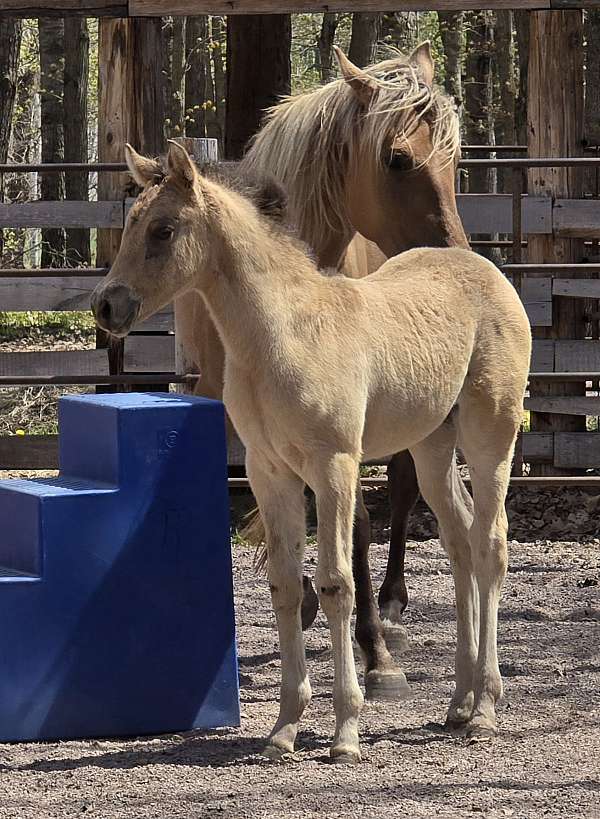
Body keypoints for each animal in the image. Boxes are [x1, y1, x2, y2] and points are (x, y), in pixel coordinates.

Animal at [91, 141, 531, 763]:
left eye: (163, 229)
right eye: (130, 222)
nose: (108, 307)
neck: (282, 335)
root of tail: (489, 270)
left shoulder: (334, 466)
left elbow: (335, 584)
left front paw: (346, 729)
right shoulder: (268, 471)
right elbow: (281, 582)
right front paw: (284, 728)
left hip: (490, 430)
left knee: (491, 544)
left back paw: (486, 707)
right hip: (431, 445)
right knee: (460, 541)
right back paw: (459, 702)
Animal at [174, 42, 470, 701]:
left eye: (457, 159)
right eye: (396, 158)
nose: (458, 254)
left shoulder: (343, 424)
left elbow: (356, 517)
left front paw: (374, 649)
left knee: (403, 489)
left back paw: (390, 606)